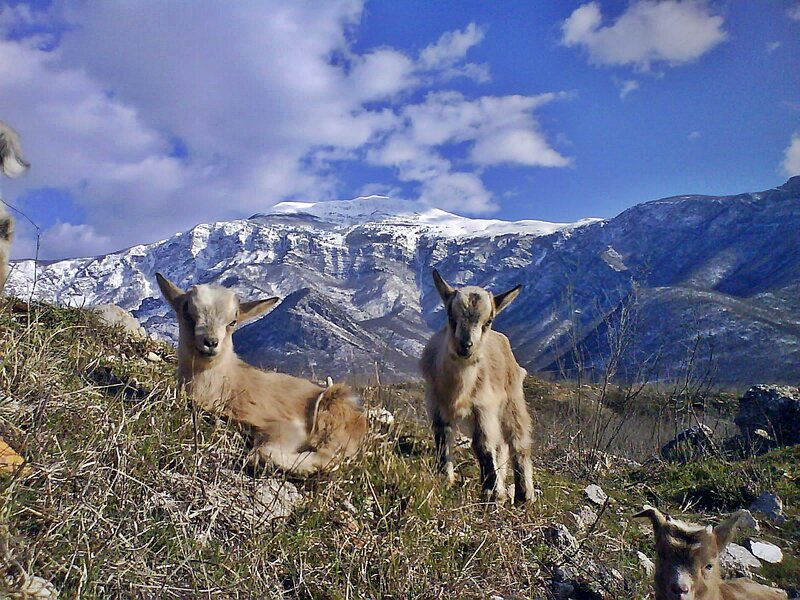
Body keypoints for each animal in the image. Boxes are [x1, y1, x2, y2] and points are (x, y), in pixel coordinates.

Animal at [156, 273, 367, 474]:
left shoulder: (285, 424)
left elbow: (263, 450)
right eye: (187, 313)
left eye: (233, 321)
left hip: (331, 414)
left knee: (329, 455)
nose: (210, 342)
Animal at [419, 269, 535, 503]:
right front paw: (445, 478)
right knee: (501, 445)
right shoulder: (436, 403)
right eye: (450, 316)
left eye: (488, 320)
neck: (457, 391)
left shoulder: (484, 407)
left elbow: (483, 445)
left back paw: (523, 494)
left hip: (512, 399)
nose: (466, 346)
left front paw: (492, 491)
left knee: (517, 440)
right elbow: (442, 436)